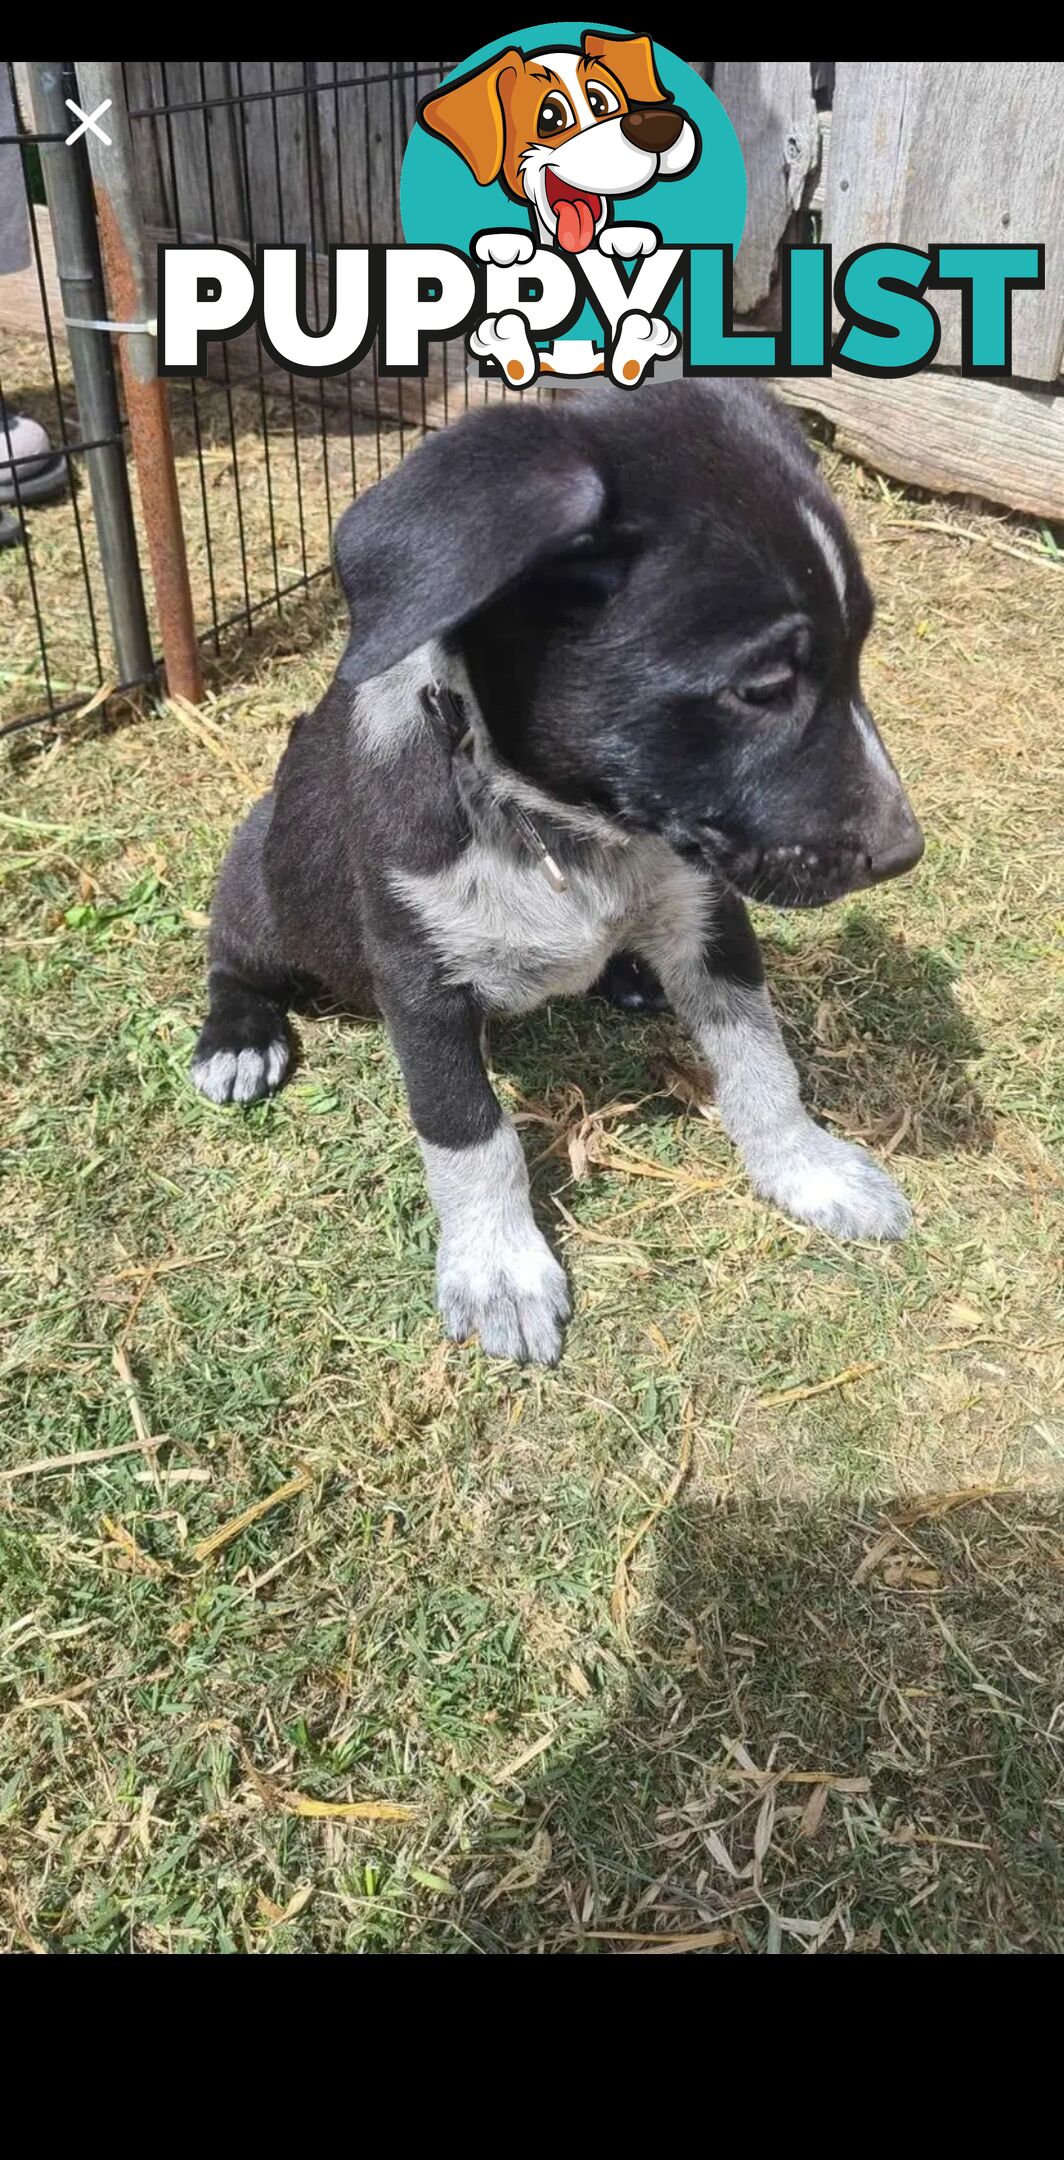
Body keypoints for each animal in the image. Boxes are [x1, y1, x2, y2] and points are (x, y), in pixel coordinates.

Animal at [191, 382, 919, 1365]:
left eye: (859, 653)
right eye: (762, 686)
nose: (905, 852)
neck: (561, 825)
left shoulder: (711, 913)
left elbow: (762, 1060)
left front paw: (805, 1167)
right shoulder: (416, 980)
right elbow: (470, 1133)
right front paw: (498, 1266)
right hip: (262, 881)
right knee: (230, 956)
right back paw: (238, 1038)